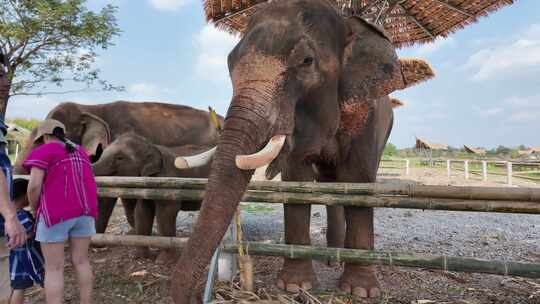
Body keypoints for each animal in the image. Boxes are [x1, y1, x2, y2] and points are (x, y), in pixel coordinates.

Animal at [92, 133, 212, 264]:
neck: (151, 146)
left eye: (120, 158)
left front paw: (163, 261)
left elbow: (166, 212)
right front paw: (140, 257)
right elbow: (142, 212)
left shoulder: (166, 182)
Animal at [171, 0, 432, 302]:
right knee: (331, 188)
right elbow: (297, 181)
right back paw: (332, 258)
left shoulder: (368, 116)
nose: (198, 295)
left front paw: (361, 291)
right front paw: (295, 286)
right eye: (228, 63)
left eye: (306, 61)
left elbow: (359, 181)